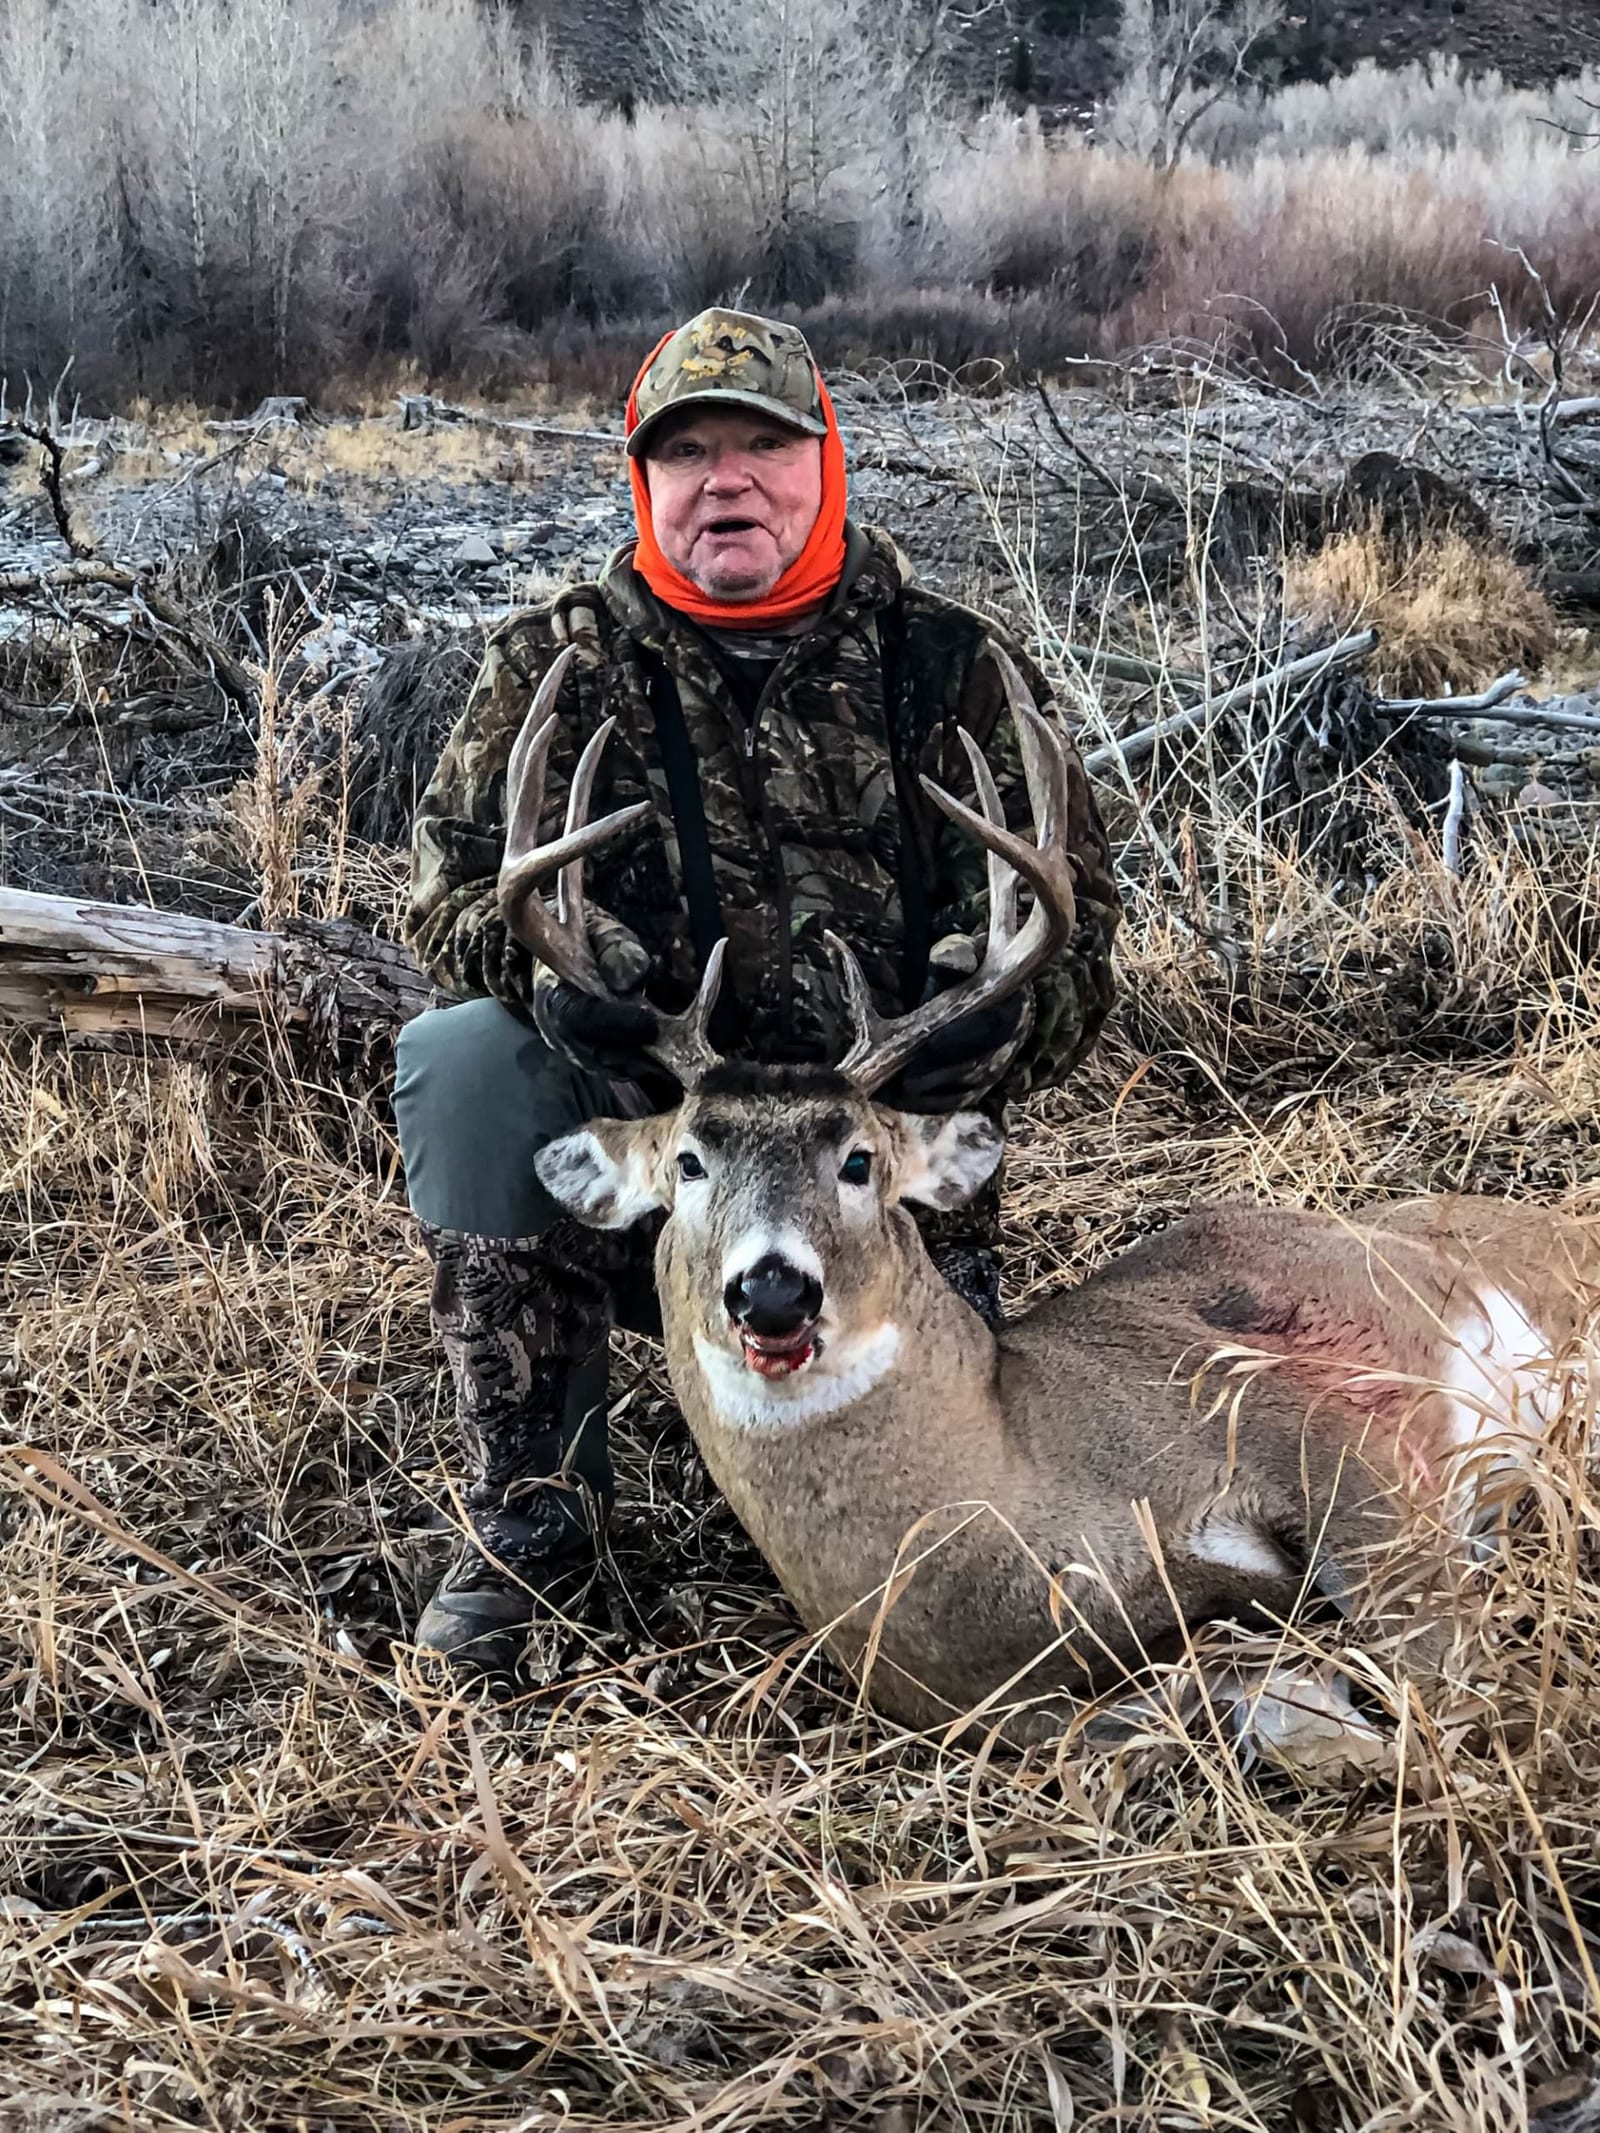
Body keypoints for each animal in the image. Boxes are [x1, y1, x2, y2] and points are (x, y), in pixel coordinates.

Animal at [494, 647, 1600, 1752]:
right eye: (689, 1162)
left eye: (860, 1161)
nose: (772, 1293)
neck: (1024, 1493)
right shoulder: (1022, 1706)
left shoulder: (1324, 1429)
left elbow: (1444, 1684)